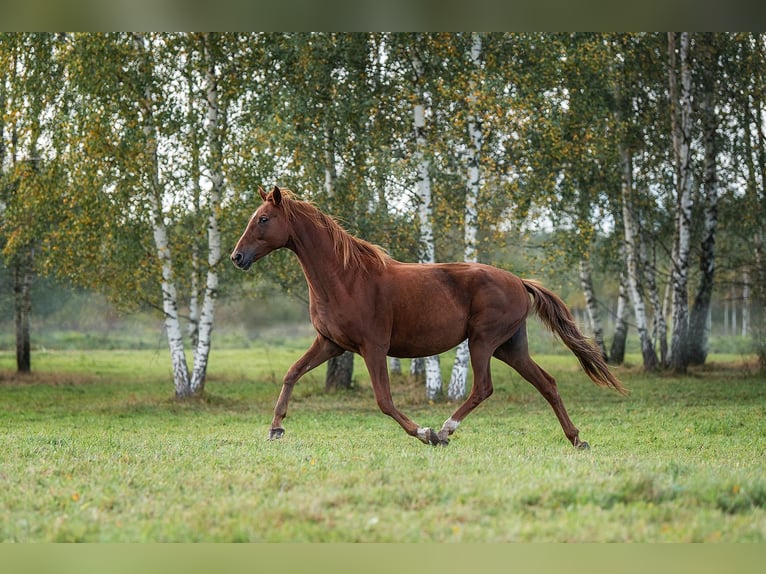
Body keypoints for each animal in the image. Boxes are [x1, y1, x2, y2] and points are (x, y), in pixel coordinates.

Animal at [231, 188, 628, 450]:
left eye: (263, 219)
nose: (237, 257)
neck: (346, 278)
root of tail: (519, 281)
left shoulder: (373, 347)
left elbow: (384, 401)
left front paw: (426, 434)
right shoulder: (330, 344)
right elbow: (292, 373)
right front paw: (275, 429)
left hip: (483, 342)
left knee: (483, 387)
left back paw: (446, 430)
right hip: (510, 348)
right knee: (547, 383)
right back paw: (576, 439)